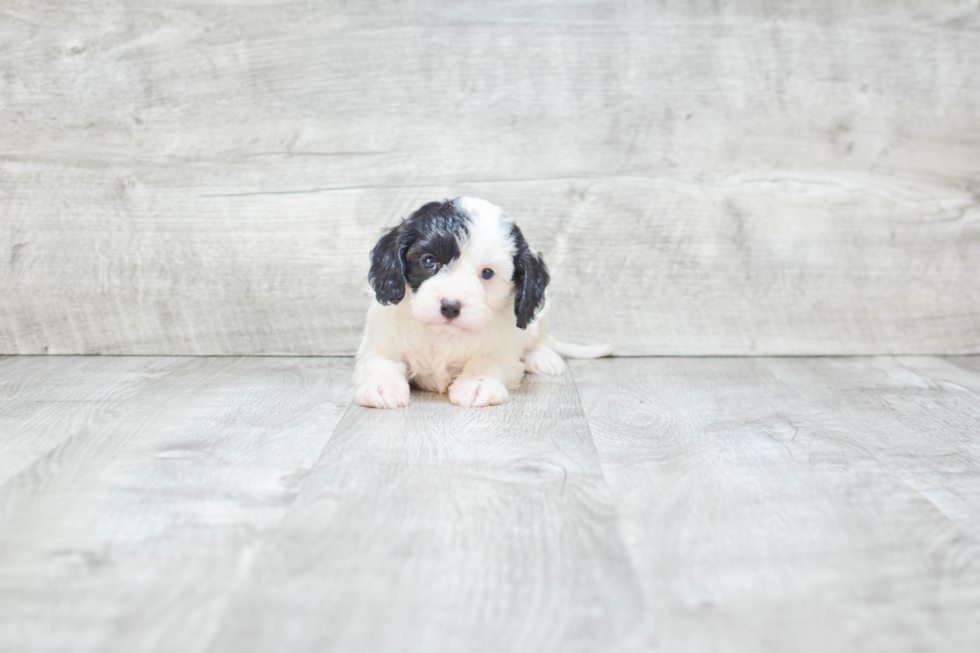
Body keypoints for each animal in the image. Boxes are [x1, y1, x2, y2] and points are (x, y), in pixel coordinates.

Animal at [354, 195, 612, 408]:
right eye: (429, 261)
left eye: (487, 273)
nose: (450, 307)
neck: (444, 335)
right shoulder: (381, 343)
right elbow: (379, 361)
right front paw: (383, 386)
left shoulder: (504, 352)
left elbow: (488, 361)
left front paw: (477, 383)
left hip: (539, 317)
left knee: (538, 338)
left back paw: (543, 357)